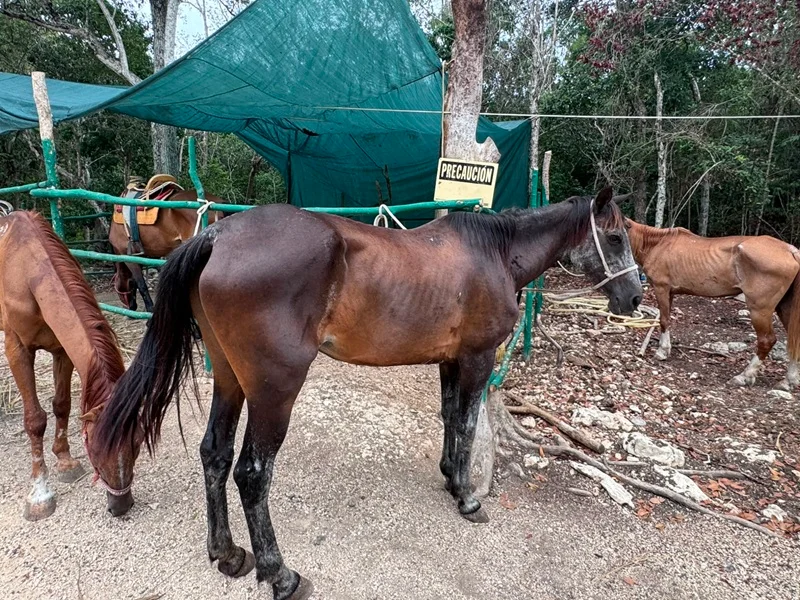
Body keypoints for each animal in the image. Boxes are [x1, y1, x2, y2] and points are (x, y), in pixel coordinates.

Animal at [0, 211, 138, 520]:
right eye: (96, 449)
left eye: (136, 445)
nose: (121, 506)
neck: (28, 271)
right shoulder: (18, 350)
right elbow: (35, 420)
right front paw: (39, 493)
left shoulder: (61, 350)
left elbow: (61, 405)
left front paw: (65, 462)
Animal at [94, 187, 641, 600]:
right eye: (614, 237)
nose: (634, 298)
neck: (494, 254)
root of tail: (217, 233)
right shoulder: (477, 359)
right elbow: (466, 423)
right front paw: (467, 497)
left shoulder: (450, 360)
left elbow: (449, 418)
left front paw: (449, 477)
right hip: (274, 391)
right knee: (251, 473)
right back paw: (280, 574)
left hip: (230, 378)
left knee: (215, 454)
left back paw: (226, 554)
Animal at [626, 218, 800, 389]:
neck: (658, 244)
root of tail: (791, 251)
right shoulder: (669, 293)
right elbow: (667, 320)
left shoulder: (661, 288)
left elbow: (663, 321)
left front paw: (662, 352)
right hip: (785, 308)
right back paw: (789, 380)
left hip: (760, 310)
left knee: (766, 341)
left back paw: (744, 376)